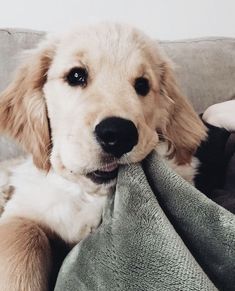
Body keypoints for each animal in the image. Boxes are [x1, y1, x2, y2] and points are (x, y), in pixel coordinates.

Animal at [0, 23, 206, 291]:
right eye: (76, 75)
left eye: (142, 85)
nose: (118, 135)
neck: (88, 195)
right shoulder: (24, 210)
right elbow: (23, 240)